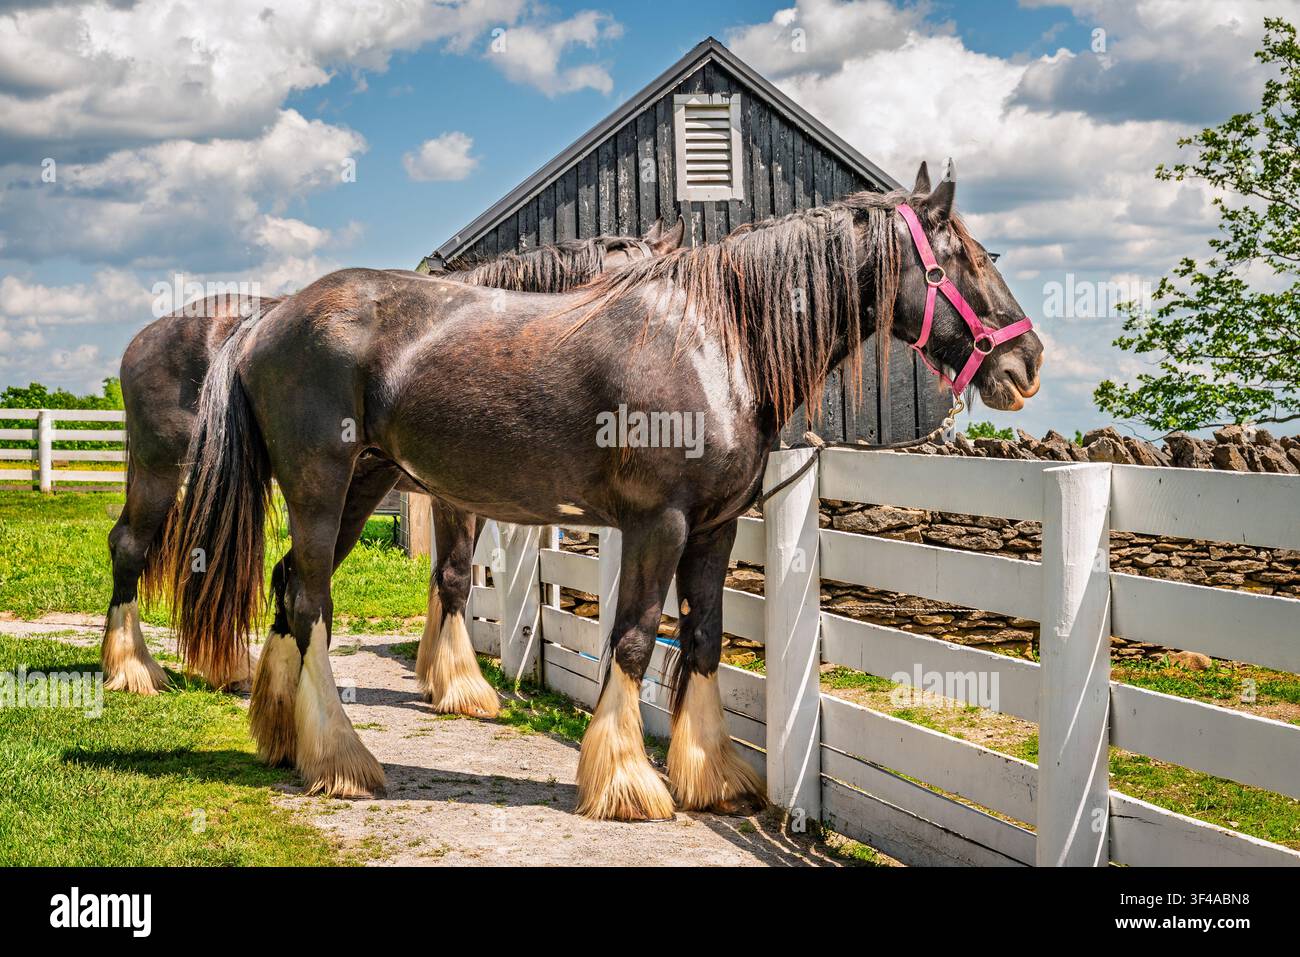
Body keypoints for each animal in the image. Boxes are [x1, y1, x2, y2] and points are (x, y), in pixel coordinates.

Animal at [102, 220, 685, 702]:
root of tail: (148, 336)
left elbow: (447, 578)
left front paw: (442, 677)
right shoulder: (440, 495)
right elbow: (450, 578)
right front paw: (461, 685)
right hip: (164, 471)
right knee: (129, 545)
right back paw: (134, 670)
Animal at [162, 161, 1043, 818]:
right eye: (967, 259)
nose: (1026, 361)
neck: (717, 339)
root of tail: (267, 321)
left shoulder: (716, 527)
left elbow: (703, 638)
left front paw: (711, 776)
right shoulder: (659, 525)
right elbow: (632, 638)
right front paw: (627, 781)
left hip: (357, 485)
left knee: (289, 588)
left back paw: (285, 737)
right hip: (319, 486)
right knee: (311, 600)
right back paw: (341, 759)